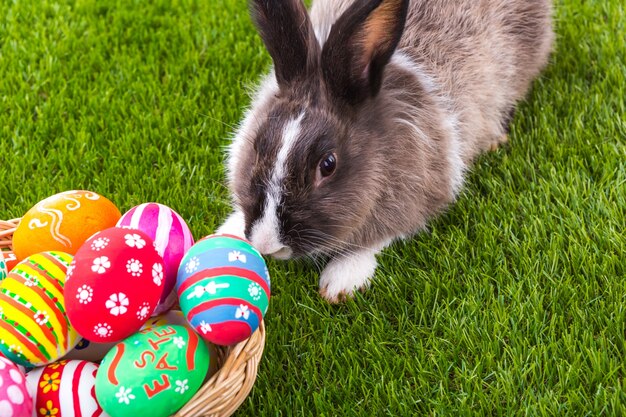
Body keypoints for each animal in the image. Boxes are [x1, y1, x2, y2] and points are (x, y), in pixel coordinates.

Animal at [218, 0, 552, 300]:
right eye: (258, 143)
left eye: (328, 165)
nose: (266, 244)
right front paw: (227, 231)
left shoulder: (423, 193)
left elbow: (379, 237)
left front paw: (341, 281)